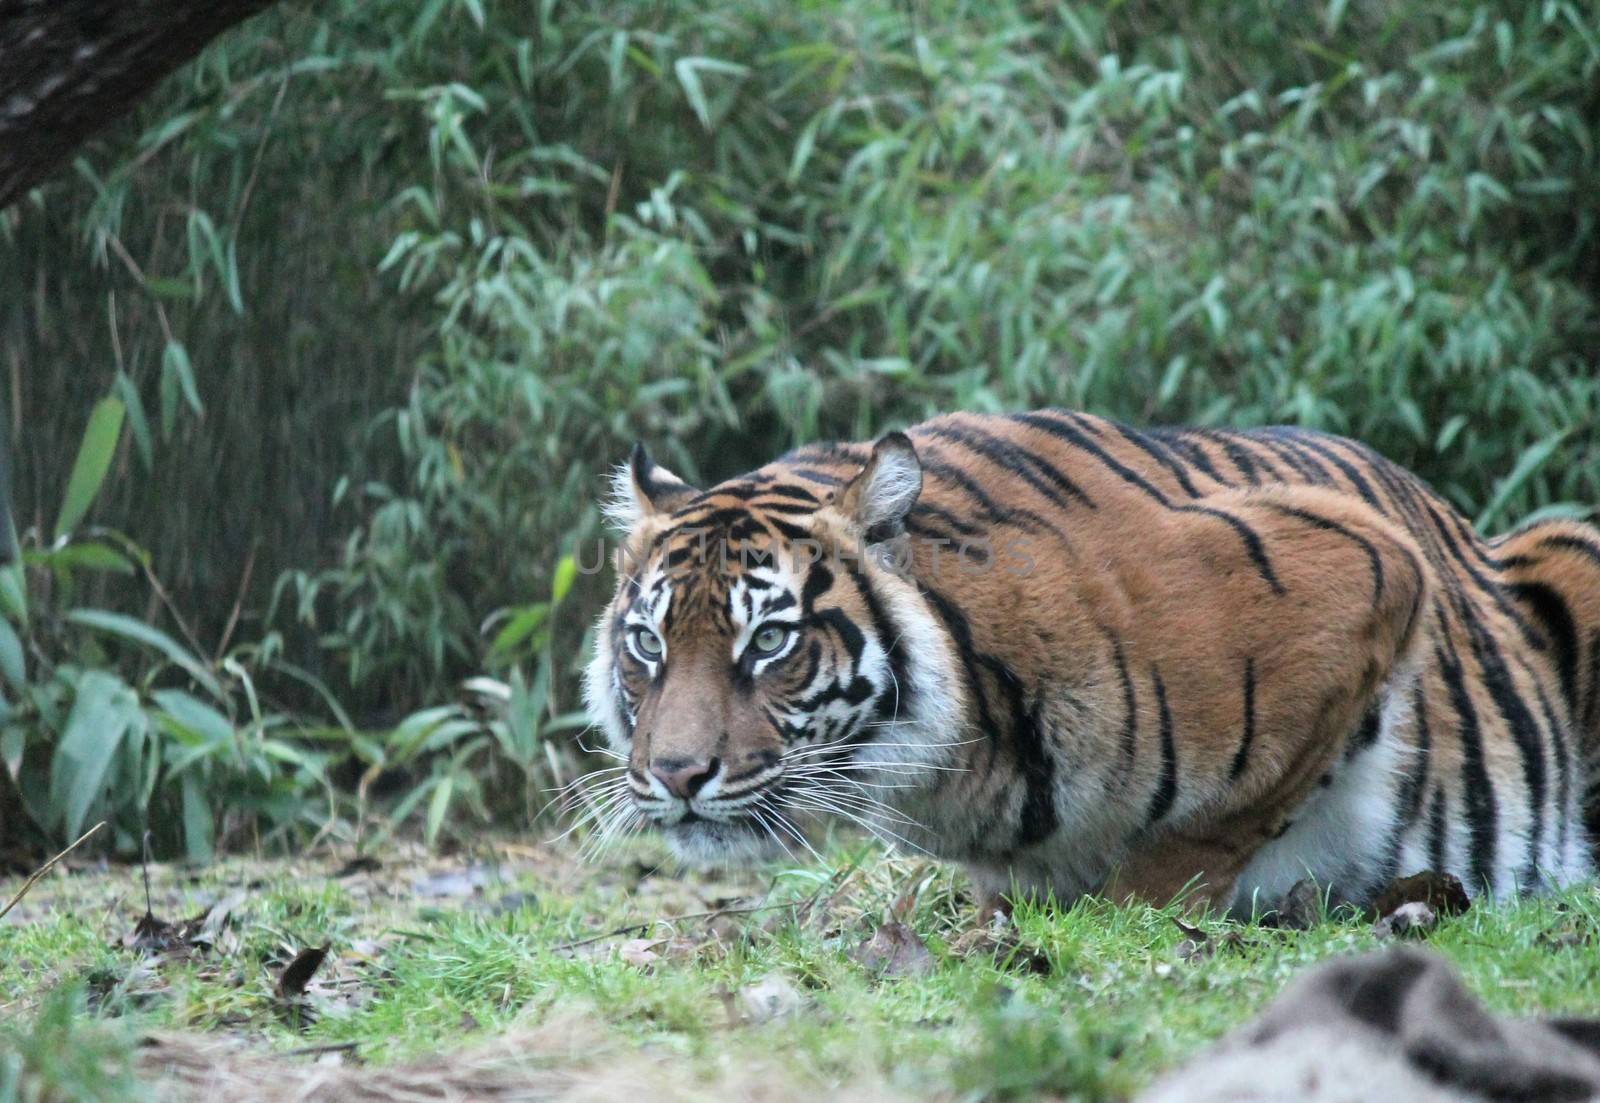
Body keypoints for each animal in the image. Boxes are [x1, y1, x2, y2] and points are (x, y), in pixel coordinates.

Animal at [585, 406, 1600, 909]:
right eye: (648, 644)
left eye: (770, 641)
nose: (677, 774)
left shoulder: (1363, 568)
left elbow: (1211, 827)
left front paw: (1134, 903)